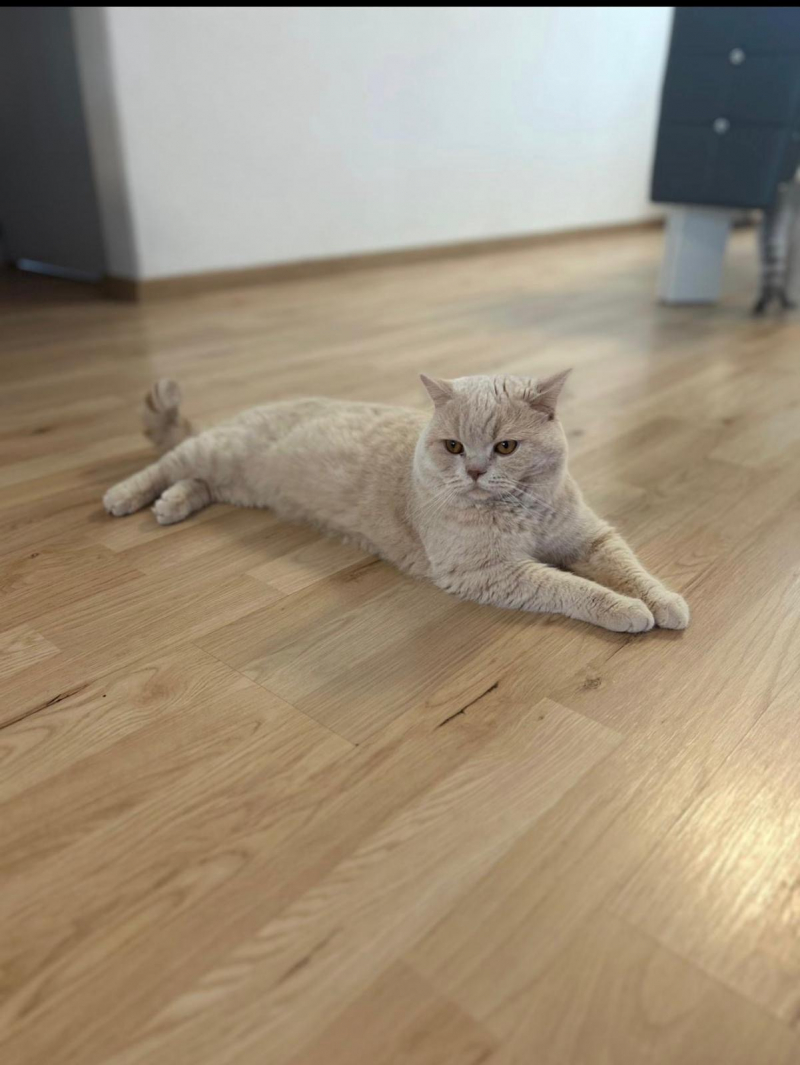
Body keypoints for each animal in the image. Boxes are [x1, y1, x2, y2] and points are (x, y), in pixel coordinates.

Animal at [103, 372, 689, 633]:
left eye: (505, 447)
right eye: (453, 447)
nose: (475, 470)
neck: (522, 509)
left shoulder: (591, 537)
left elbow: (632, 570)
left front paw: (663, 602)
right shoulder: (486, 571)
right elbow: (572, 588)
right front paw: (626, 610)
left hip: (233, 482)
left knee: (193, 482)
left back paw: (170, 505)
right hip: (217, 452)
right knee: (167, 463)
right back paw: (125, 496)